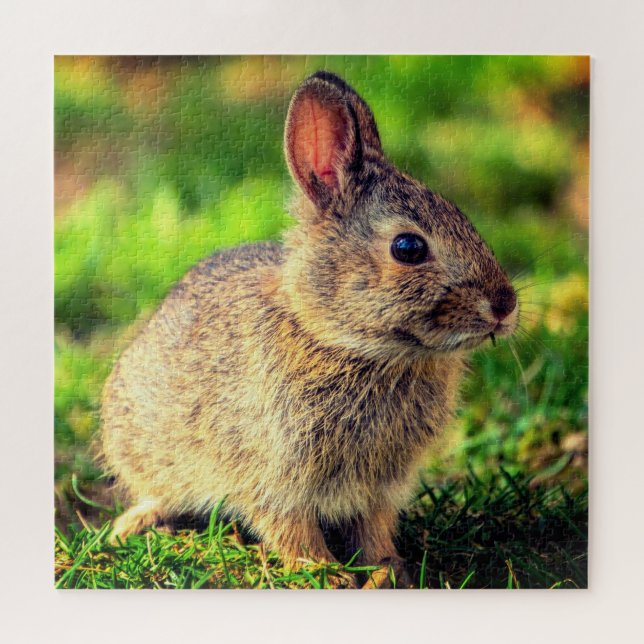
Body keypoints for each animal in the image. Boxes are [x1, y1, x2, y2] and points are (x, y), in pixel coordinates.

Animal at [100, 70, 518, 587]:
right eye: (408, 248)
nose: (505, 305)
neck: (343, 342)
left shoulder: (379, 487)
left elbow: (374, 527)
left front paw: (388, 571)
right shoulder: (272, 475)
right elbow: (290, 527)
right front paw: (325, 574)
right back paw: (135, 524)